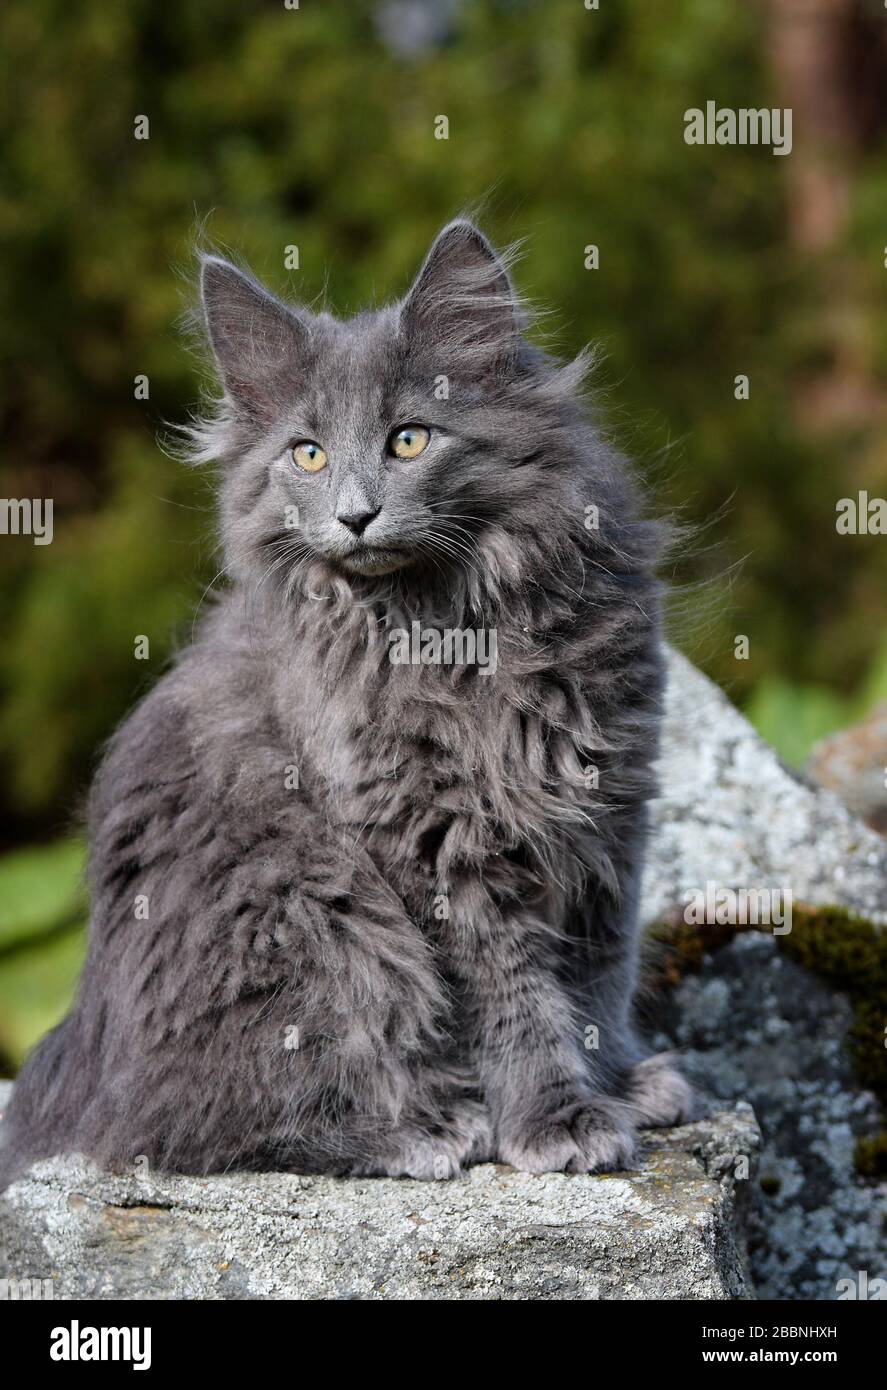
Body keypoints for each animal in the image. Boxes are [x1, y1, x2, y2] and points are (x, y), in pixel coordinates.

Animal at [0, 222, 695, 1189]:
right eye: (308, 454)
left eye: (408, 440)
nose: (355, 515)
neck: (453, 626)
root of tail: (78, 1064)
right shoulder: (427, 835)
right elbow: (512, 989)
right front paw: (556, 1118)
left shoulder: (609, 805)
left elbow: (599, 970)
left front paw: (620, 1083)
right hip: (316, 921)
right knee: (191, 1127)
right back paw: (429, 1130)